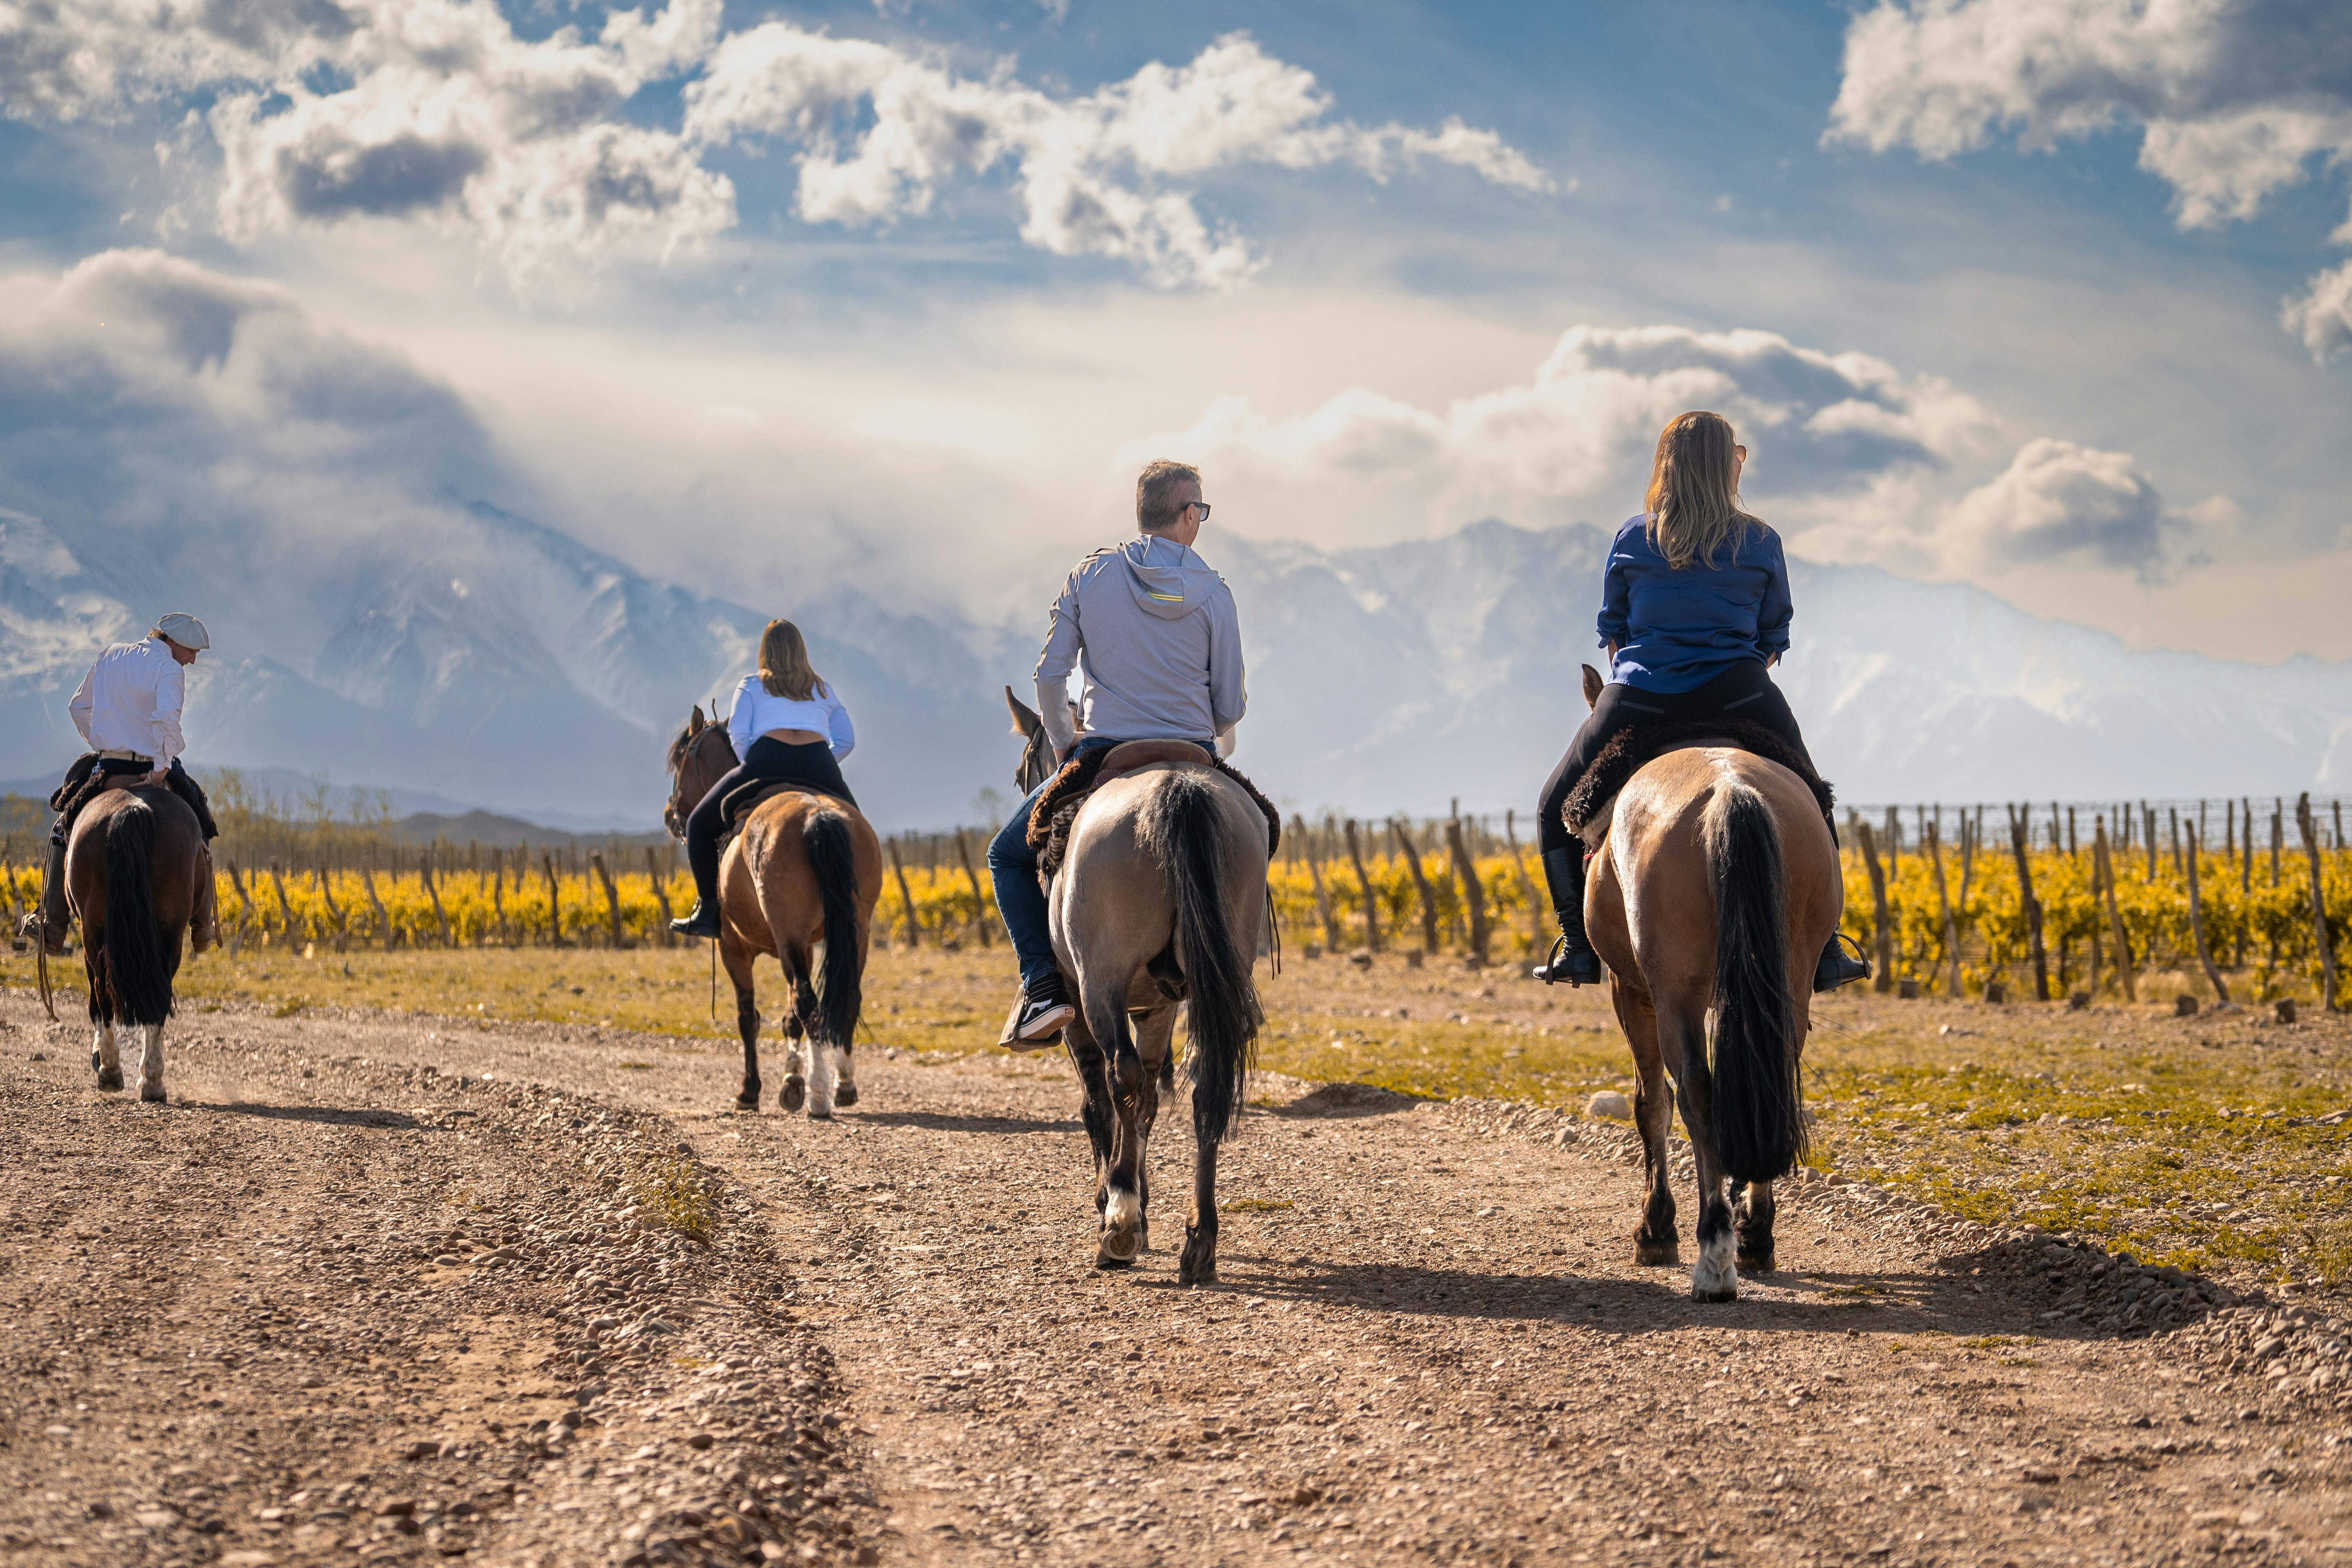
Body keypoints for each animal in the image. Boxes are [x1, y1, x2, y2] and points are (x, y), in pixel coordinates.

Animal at [67, 785, 216, 1105]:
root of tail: (133, 808)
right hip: (166, 934)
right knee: (152, 996)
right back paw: (148, 1079)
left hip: (95, 931)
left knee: (105, 993)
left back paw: (117, 1073)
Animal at [668, 710, 884, 1114]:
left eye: (680, 762)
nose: (670, 815)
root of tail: (817, 814)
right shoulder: (806, 945)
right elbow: (790, 1020)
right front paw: (792, 1079)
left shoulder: (734, 949)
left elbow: (748, 1018)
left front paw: (751, 1090)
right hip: (854, 931)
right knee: (844, 998)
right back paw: (843, 1083)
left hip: (786, 936)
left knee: (806, 1001)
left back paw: (819, 1095)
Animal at [1007, 701, 1279, 1288]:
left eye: (1021, 772)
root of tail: (1176, 788)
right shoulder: (1159, 1006)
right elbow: (1151, 1103)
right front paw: (1142, 1203)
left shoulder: (1078, 1005)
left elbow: (1099, 1103)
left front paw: (1115, 1199)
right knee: (1203, 1086)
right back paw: (1199, 1241)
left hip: (1100, 982)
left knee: (1121, 1079)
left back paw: (1121, 1223)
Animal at [1581, 663, 1835, 1298]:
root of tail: (1730, 790)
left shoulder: (1631, 991)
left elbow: (1652, 1103)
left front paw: (1656, 1230)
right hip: (1785, 977)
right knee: (1772, 1076)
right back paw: (1755, 1236)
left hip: (1672, 991)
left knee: (1694, 1088)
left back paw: (1714, 1254)